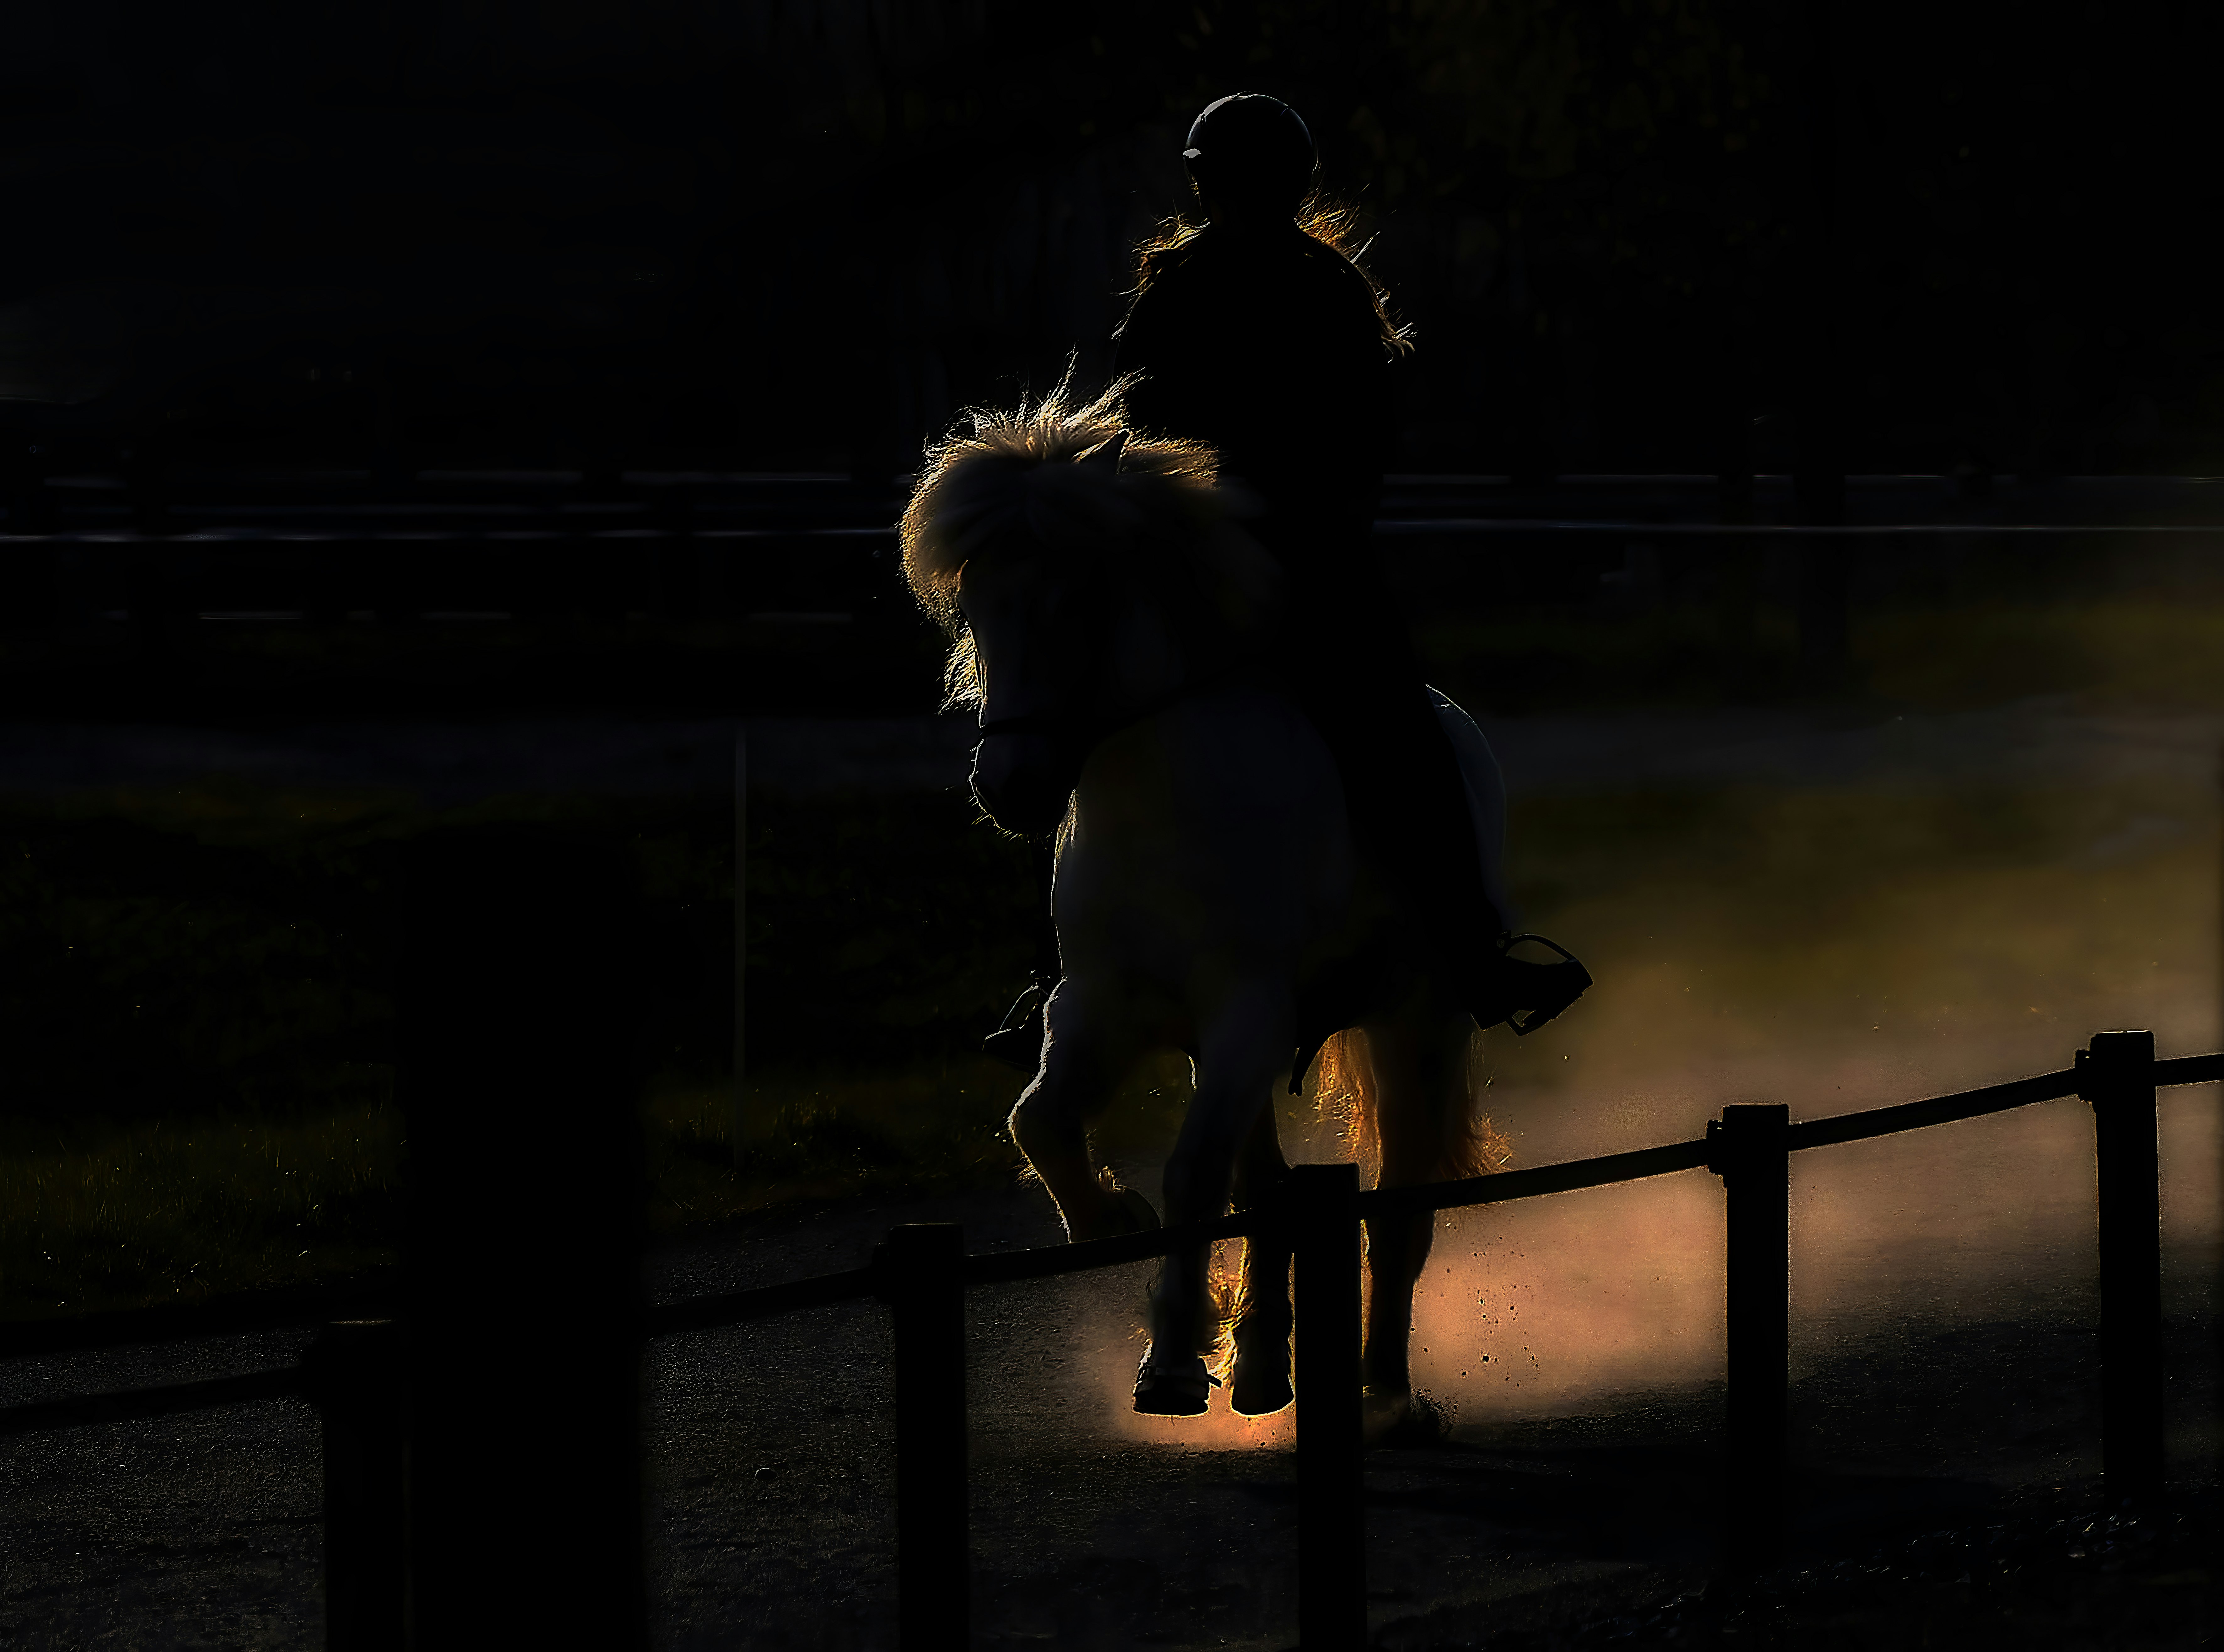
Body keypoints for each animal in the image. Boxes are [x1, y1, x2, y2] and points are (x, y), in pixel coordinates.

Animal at [903, 380, 1548, 1440]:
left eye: (1077, 598)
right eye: (977, 607)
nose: (1009, 788)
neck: (1167, 799)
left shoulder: (1249, 1011)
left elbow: (1193, 1175)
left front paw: (1171, 1357)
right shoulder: (1098, 1007)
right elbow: (1040, 1122)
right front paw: (1108, 1226)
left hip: (1419, 1026)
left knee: (1398, 1209)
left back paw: (1384, 1391)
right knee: (1270, 1185)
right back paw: (1259, 1362)